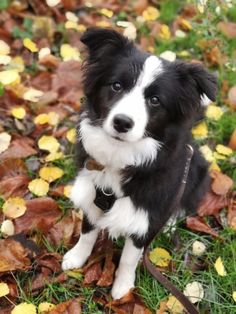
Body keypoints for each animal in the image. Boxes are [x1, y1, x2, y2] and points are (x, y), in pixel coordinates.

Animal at [61, 28, 218, 300]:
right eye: (116, 85)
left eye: (155, 100)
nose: (122, 122)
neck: (120, 154)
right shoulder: (93, 193)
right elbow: (87, 231)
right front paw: (76, 258)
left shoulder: (144, 218)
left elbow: (129, 257)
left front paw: (122, 288)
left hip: (196, 169)